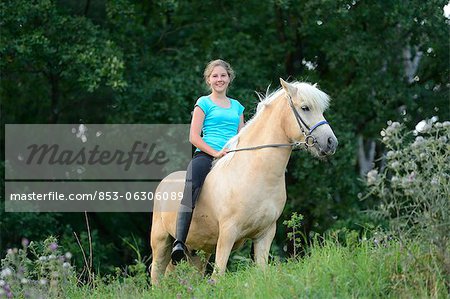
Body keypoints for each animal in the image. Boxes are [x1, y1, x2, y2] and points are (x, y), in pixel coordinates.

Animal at [151, 78, 338, 284]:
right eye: (305, 108)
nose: (331, 143)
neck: (256, 175)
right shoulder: (227, 233)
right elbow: (218, 276)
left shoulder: (265, 234)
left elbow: (262, 271)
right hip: (161, 242)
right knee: (156, 277)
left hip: (198, 252)